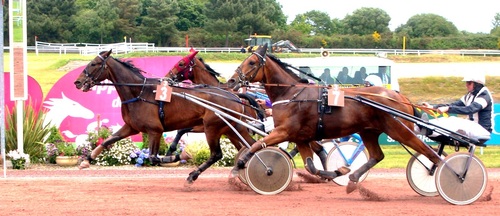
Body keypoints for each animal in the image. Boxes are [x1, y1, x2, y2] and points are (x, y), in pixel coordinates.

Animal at [74, 49, 258, 183]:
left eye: (94, 63)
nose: (78, 82)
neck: (139, 92)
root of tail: (234, 96)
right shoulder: (131, 127)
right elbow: (107, 141)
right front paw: (86, 160)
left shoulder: (155, 131)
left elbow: (154, 158)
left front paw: (179, 155)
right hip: (232, 128)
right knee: (251, 145)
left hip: (211, 127)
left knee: (217, 154)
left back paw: (193, 175)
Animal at [166, 51, 334, 171]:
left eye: (181, 63)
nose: (167, 77)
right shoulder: (224, 128)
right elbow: (183, 130)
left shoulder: (214, 124)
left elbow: (183, 129)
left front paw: (170, 151)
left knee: (317, 147)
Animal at [227, 44, 442, 189]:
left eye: (252, 62)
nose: (231, 81)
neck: (290, 94)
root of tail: (401, 97)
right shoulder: (301, 137)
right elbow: (310, 166)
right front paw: (338, 171)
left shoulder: (285, 131)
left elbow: (256, 145)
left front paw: (239, 166)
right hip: (368, 131)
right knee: (377, 155)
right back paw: (353, 177)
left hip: (398, 129)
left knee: (429, 152)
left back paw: (440, 173)